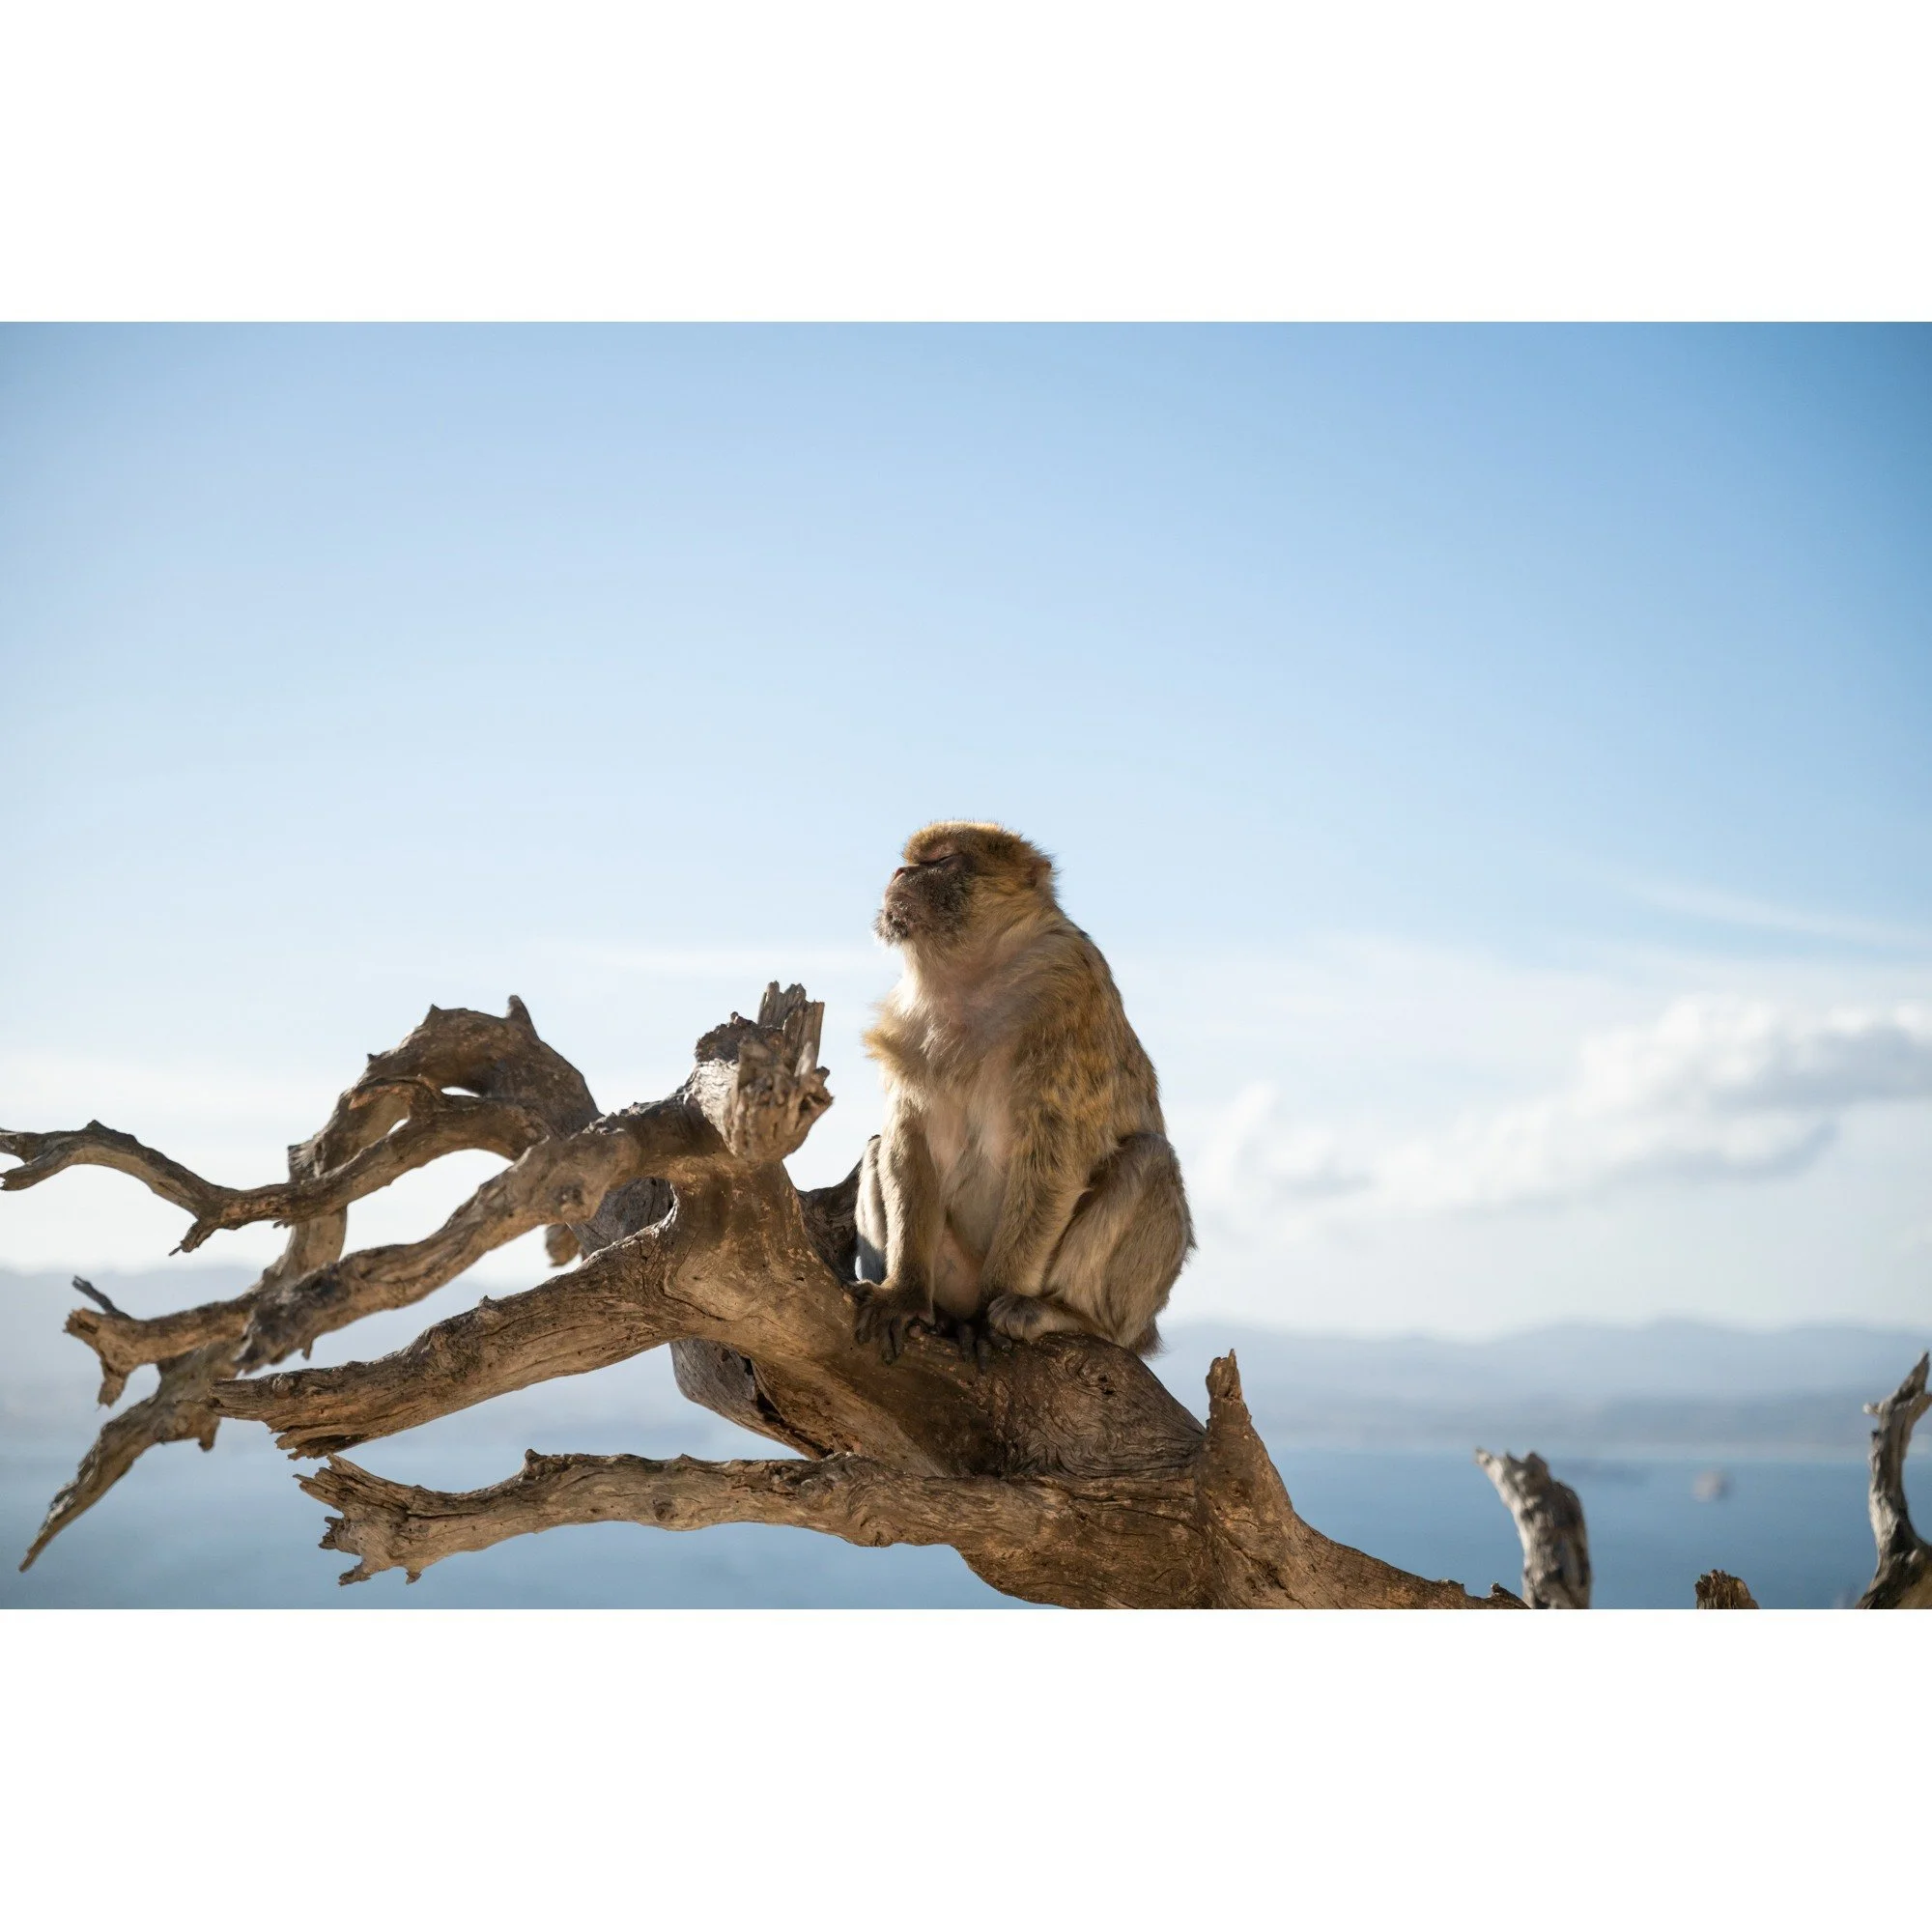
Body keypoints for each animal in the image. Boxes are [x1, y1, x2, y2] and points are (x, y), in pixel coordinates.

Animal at [851, 821, 1194, 1363]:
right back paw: (941, 1311)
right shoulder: (908, 1030)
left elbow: (1054, 1155)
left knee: (1149, 1158)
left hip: (1129, 1315)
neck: (969, 979)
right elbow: (909, 1140)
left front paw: (988, 1310)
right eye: (912, 861)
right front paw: (904, 1292)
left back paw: (1069, 1315)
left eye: (942, 860)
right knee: (876, 1147)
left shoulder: (1067, 992)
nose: (901, 872)